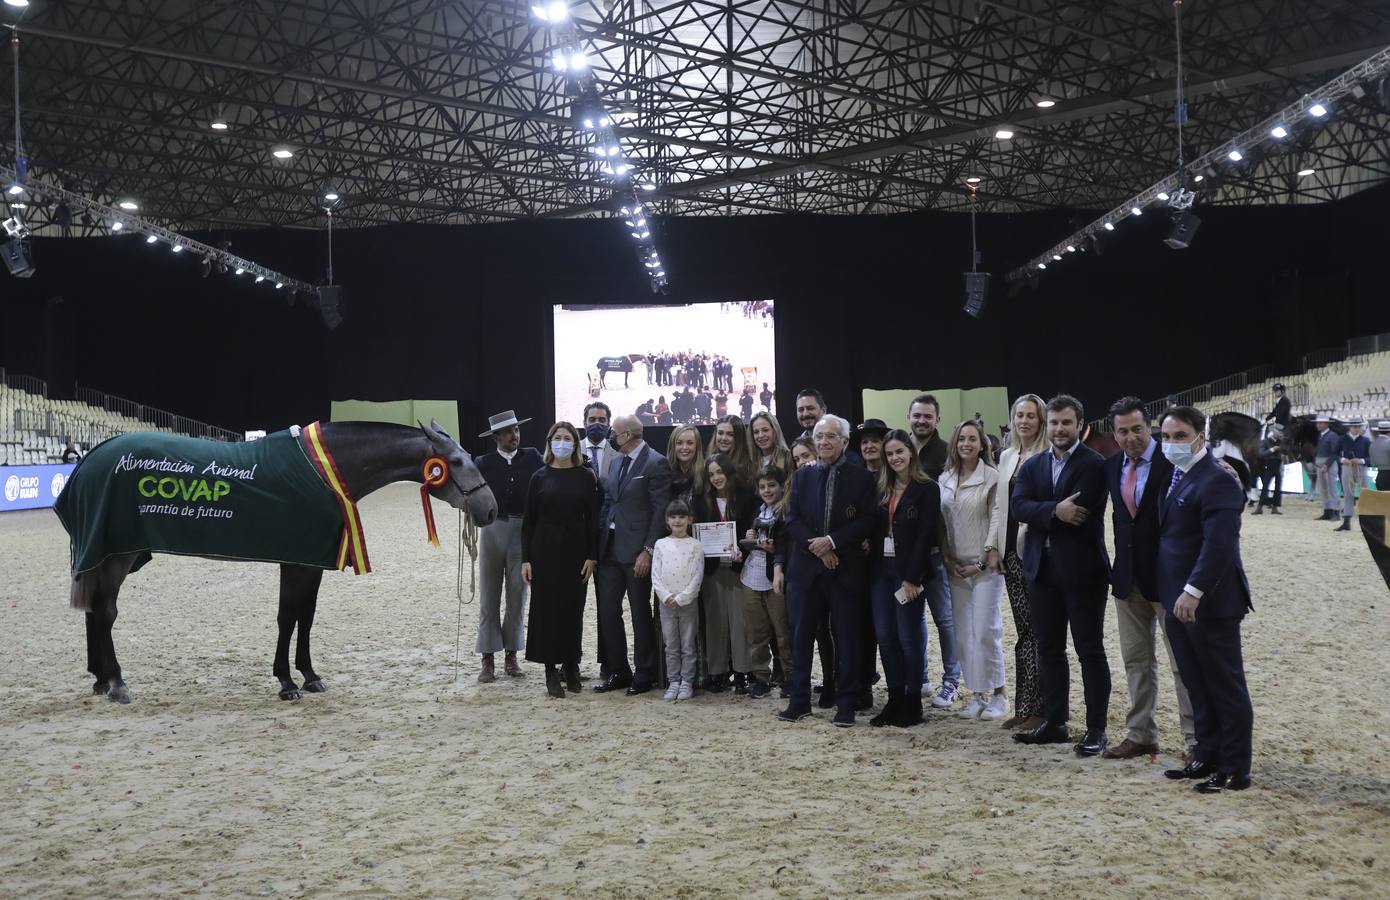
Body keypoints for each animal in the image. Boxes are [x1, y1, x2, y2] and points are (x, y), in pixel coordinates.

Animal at [65, 420, 500, 706]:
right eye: (456, 462)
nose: (491, 509)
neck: (323, 473)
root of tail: (92, 456)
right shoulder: (296, 561)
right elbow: (287, 618)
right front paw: (287, 682)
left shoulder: (311, 563)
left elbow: (305, 617)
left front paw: (309, 676)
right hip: (118, 555)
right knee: (105, 612)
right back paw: (117, 683)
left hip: (111, 555)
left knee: (94, 611)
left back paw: (100, 680)